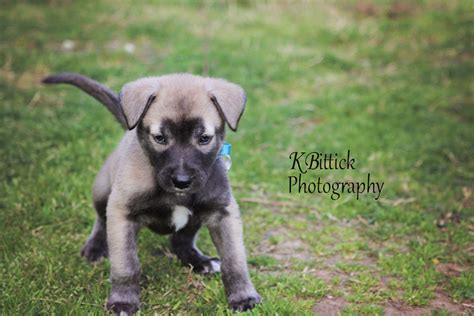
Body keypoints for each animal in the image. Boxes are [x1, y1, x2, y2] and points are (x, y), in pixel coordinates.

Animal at [42, 73, 262, 314]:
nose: (182, 182)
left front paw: (242, 296)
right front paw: (123, 301)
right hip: (102, 192)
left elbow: (234, 261)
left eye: (204, 138)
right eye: (160, 138)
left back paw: (200, 261)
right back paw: (95, 248)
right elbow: (126, 266)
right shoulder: (122, 214)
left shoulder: (223, 213)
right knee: (101, 219)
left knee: (181, 240)